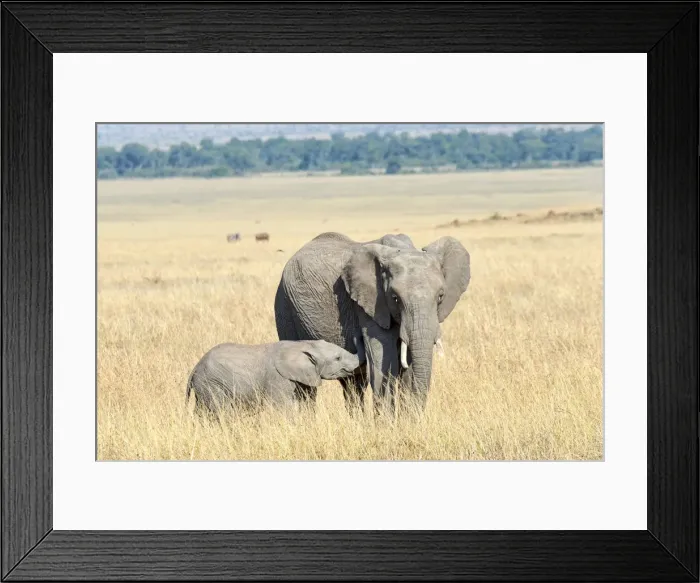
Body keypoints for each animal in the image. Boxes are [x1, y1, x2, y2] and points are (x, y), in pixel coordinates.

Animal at [186, 339, 362, 417]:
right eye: (338, 358)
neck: (303, 344)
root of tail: (195, 368)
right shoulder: (278, 378)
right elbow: (282, 407)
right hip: (212, 383)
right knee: (222, 411)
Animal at [274, 231, 470, 416]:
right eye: (395, 298)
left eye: (440, 297)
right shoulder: (369, 306)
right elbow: (384, 362)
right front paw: (388, 427)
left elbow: (409, 368)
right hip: (285, 308)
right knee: (306, 387)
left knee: (353, 385)